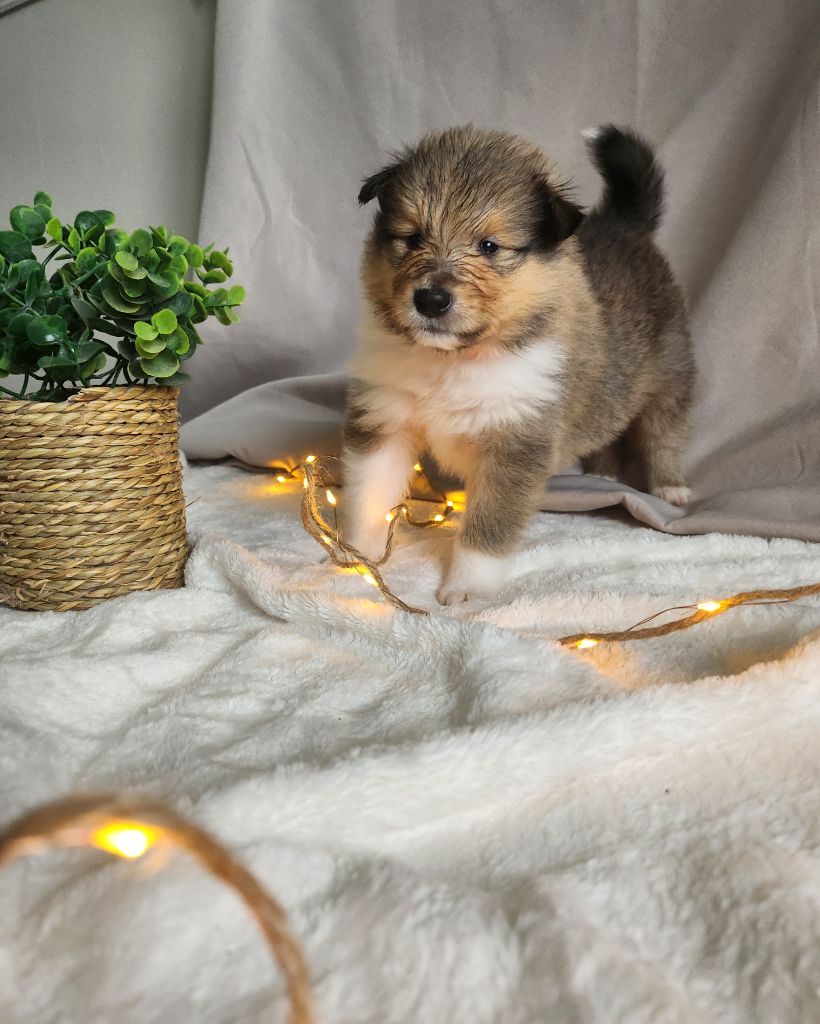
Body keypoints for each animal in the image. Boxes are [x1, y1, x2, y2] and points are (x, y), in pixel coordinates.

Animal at [343, 124, 694, 604]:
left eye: (489, 246)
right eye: (411, 238)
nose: (430, 299)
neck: (453, 360)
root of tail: (624, 224)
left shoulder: (514, 443)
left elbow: (487, 528)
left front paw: (466, 589)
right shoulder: (385, 417)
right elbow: (370, 495)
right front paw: (358, 556)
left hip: (671, 372)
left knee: (665, 431)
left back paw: (670, 488)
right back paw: (603, 476)